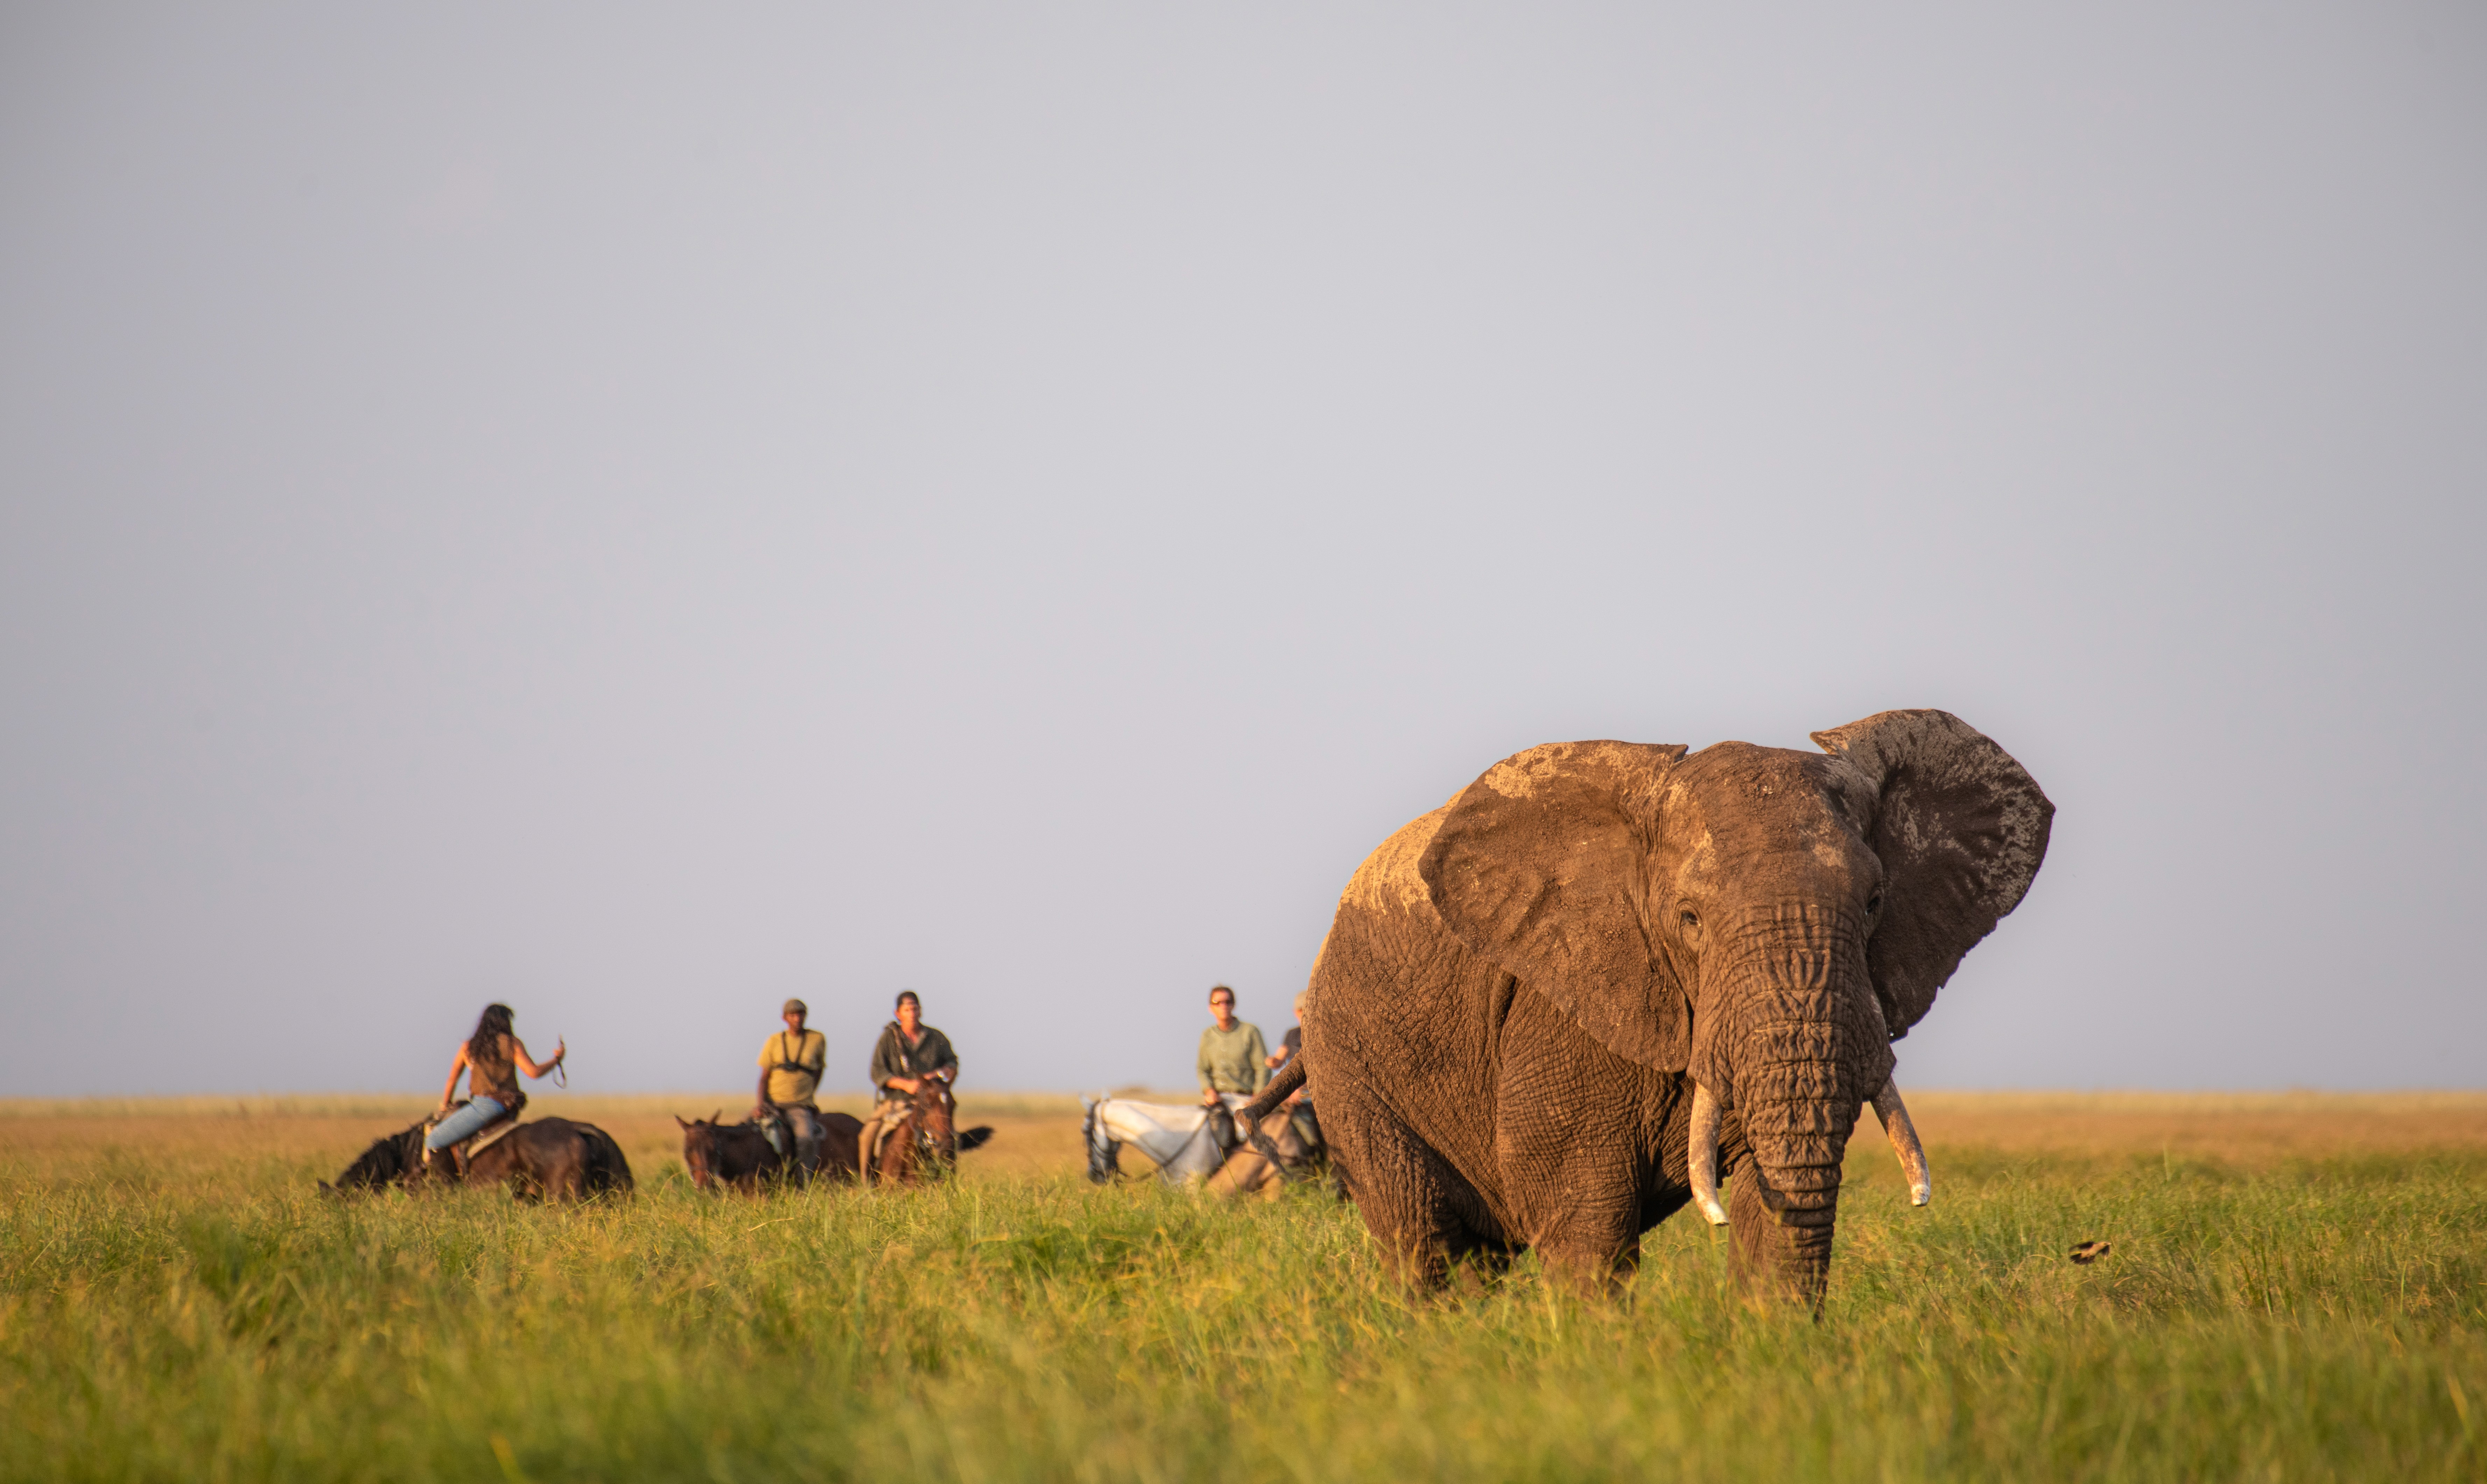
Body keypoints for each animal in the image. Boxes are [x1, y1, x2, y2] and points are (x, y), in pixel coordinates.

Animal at [1244, 709, 2051, 1308]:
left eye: (1876, 900)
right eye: (1688, 918)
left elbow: (1769, 1198)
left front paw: (1779, 1355)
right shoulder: (1560, 999)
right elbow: (1579, 1208)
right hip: (1348, 1058)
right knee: (1419, 1236)